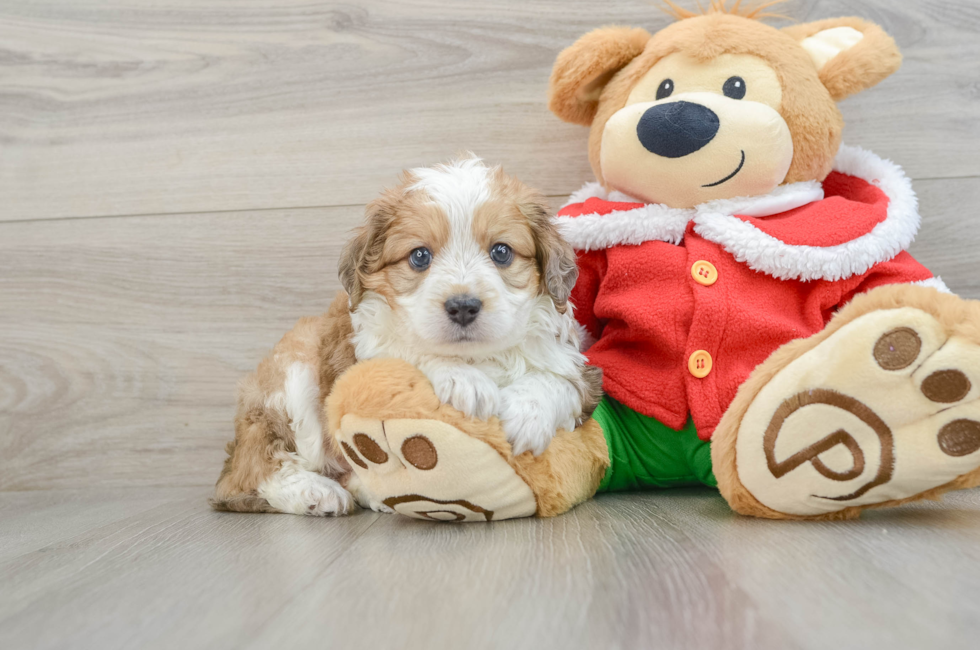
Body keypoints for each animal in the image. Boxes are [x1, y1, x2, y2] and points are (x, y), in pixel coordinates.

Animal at [211, 154, 600, 512]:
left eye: (501, 252)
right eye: (419, 256)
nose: (463, 306)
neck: (474, 355)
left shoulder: (575, 365)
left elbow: (558, 381)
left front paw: (524, 415)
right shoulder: (364, 346)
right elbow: (405, 351)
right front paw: (463, 380)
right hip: (294, 376)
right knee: (250, 472)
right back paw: (316, 493)